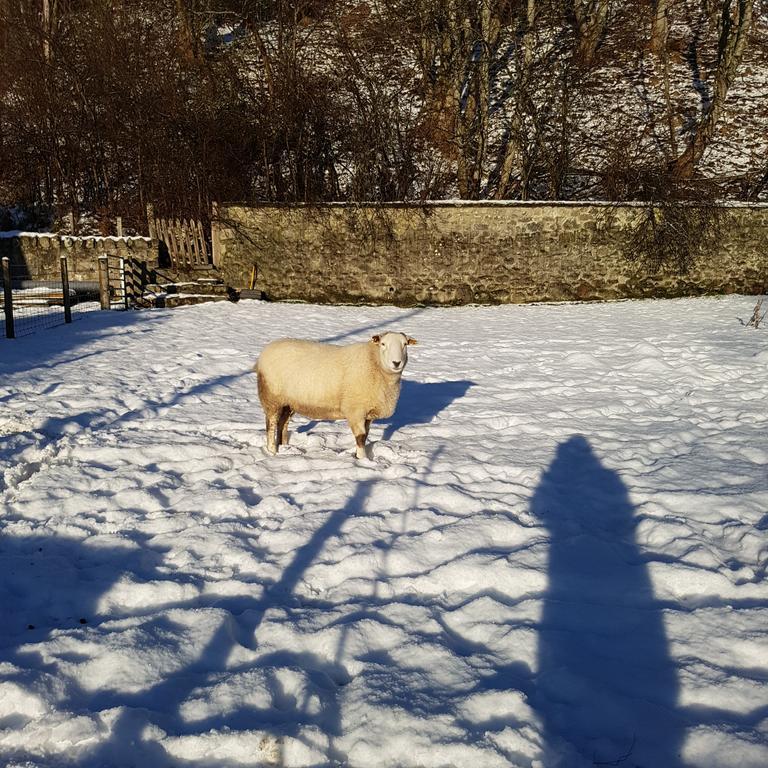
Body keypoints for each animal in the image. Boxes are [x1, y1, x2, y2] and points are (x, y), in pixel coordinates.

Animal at [255, 330, 416, 456]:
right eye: (383, 344)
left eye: (405, 344)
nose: (396, 363)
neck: (374, 362)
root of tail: (265, 352)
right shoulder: (355, 410)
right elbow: (360, 437)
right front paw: (363, 460)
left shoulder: (367, 412)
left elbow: (365, 436)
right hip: (272, 397)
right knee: (271, 424)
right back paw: (272, 451)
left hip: (288, 401)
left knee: (283, 423)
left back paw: (284, 447)